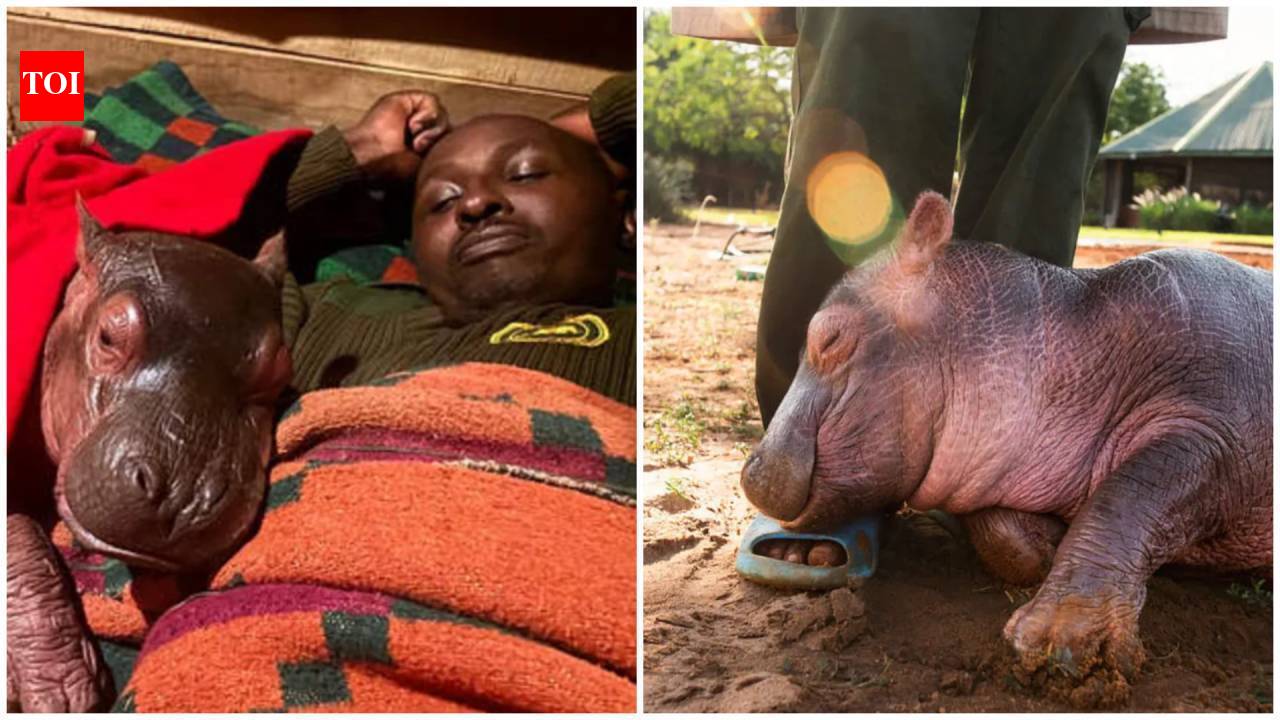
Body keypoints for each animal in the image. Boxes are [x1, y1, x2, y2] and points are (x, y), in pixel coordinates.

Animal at [741, 192, 1272, 688]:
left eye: (828, 338)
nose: (750, 469)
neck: (1073, 342)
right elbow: (1000, 531)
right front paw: (1049, 545)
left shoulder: (1215, 434)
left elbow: (1127, 499)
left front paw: (1058, 642)